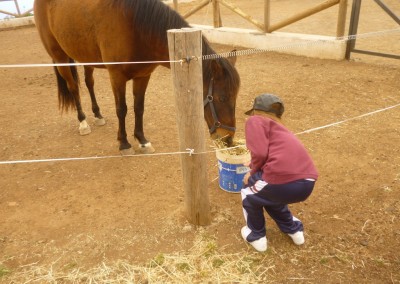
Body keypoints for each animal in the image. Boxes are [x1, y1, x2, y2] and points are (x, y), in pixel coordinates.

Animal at [33, 0, 241, 153]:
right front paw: (124, 142)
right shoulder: (116, 77)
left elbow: (139, 108)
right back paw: (83, 122)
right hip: (60, 57)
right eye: (221, 98)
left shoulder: (143, 76)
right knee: (74, 87)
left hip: (86, 57)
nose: (228, 139)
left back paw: (97, 114)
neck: (135, 28)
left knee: (89, 83)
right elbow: (122, 109)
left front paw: (141, 140)